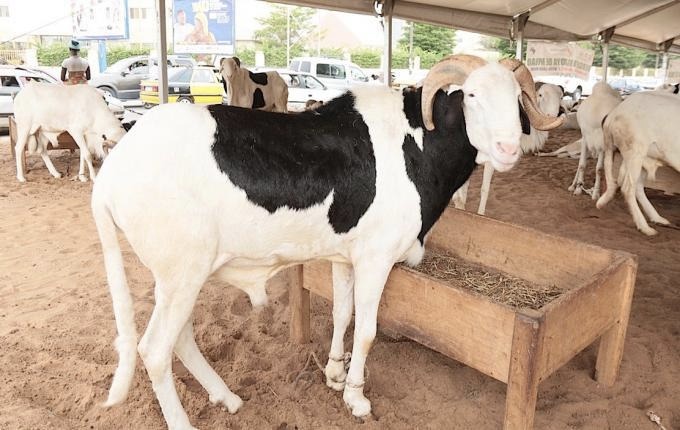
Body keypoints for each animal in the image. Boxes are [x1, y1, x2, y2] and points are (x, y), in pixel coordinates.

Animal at [91, 54, 562, 429]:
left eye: (517, 99)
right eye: (472, 96)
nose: (508, 148)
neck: (413, 145)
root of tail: (113, 169)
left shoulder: (345, 255)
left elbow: (341, 314)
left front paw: (335, 374)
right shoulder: (375, 258)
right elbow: (367, 330)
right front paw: (356, 396)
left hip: (180, 277)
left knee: (182, 339)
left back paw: (226, 396)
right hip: (182, 274)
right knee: (154, 350)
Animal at [596, 91, 680, 235]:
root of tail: (614, 113)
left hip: (639, 159)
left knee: (637, 186)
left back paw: (657, 218)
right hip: (635, 152)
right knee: (628, 188)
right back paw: (645, 227)